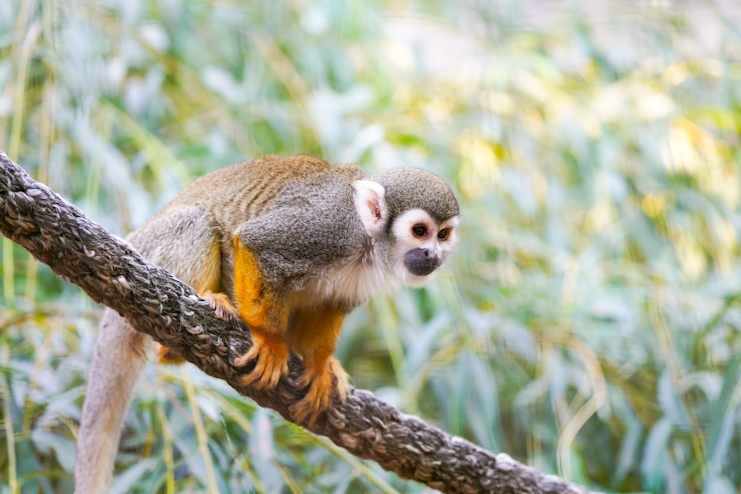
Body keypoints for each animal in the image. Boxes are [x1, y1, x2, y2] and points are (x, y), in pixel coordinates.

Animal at [73, 155, 456, 494]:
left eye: (443, 235)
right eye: (419, 231)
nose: (432, 256)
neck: (367, 242)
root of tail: (135, 240)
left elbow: (329, 306)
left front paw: (320, 366)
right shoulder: (327, 227)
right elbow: (256, 244)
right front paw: (270, 341)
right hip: (156, 248)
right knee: (196, 221)